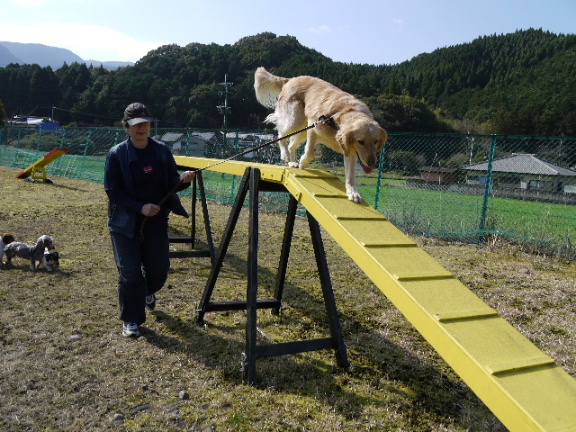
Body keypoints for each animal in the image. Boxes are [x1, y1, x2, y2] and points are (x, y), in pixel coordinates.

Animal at [253, 66, 384, 203]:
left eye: (376, 141)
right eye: (361, 142)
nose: (372, 163)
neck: (340, 116)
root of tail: (291, 79)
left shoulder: (350, 150)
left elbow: (350, 174)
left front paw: (353, 192)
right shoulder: (314, 125)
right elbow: (310, 151)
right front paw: (303, 162)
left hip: (302, 129)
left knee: (291, 145)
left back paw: (292, 162)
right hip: (296, 120)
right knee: (281, 135)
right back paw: (285, 155)